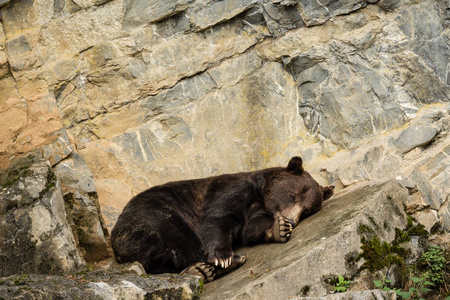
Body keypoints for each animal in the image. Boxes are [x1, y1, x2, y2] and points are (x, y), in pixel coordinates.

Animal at [110, 157, 332, 282]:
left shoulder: (257, 210)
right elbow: (217, 220)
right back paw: (217, 264)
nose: (291, 220)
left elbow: (251, 229)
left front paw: (279, 229)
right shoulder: (229, 192)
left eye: (307, 210)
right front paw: (223, 256)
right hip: (154, 215)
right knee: (180, 241)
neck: (259, 195)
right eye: (293, 196)